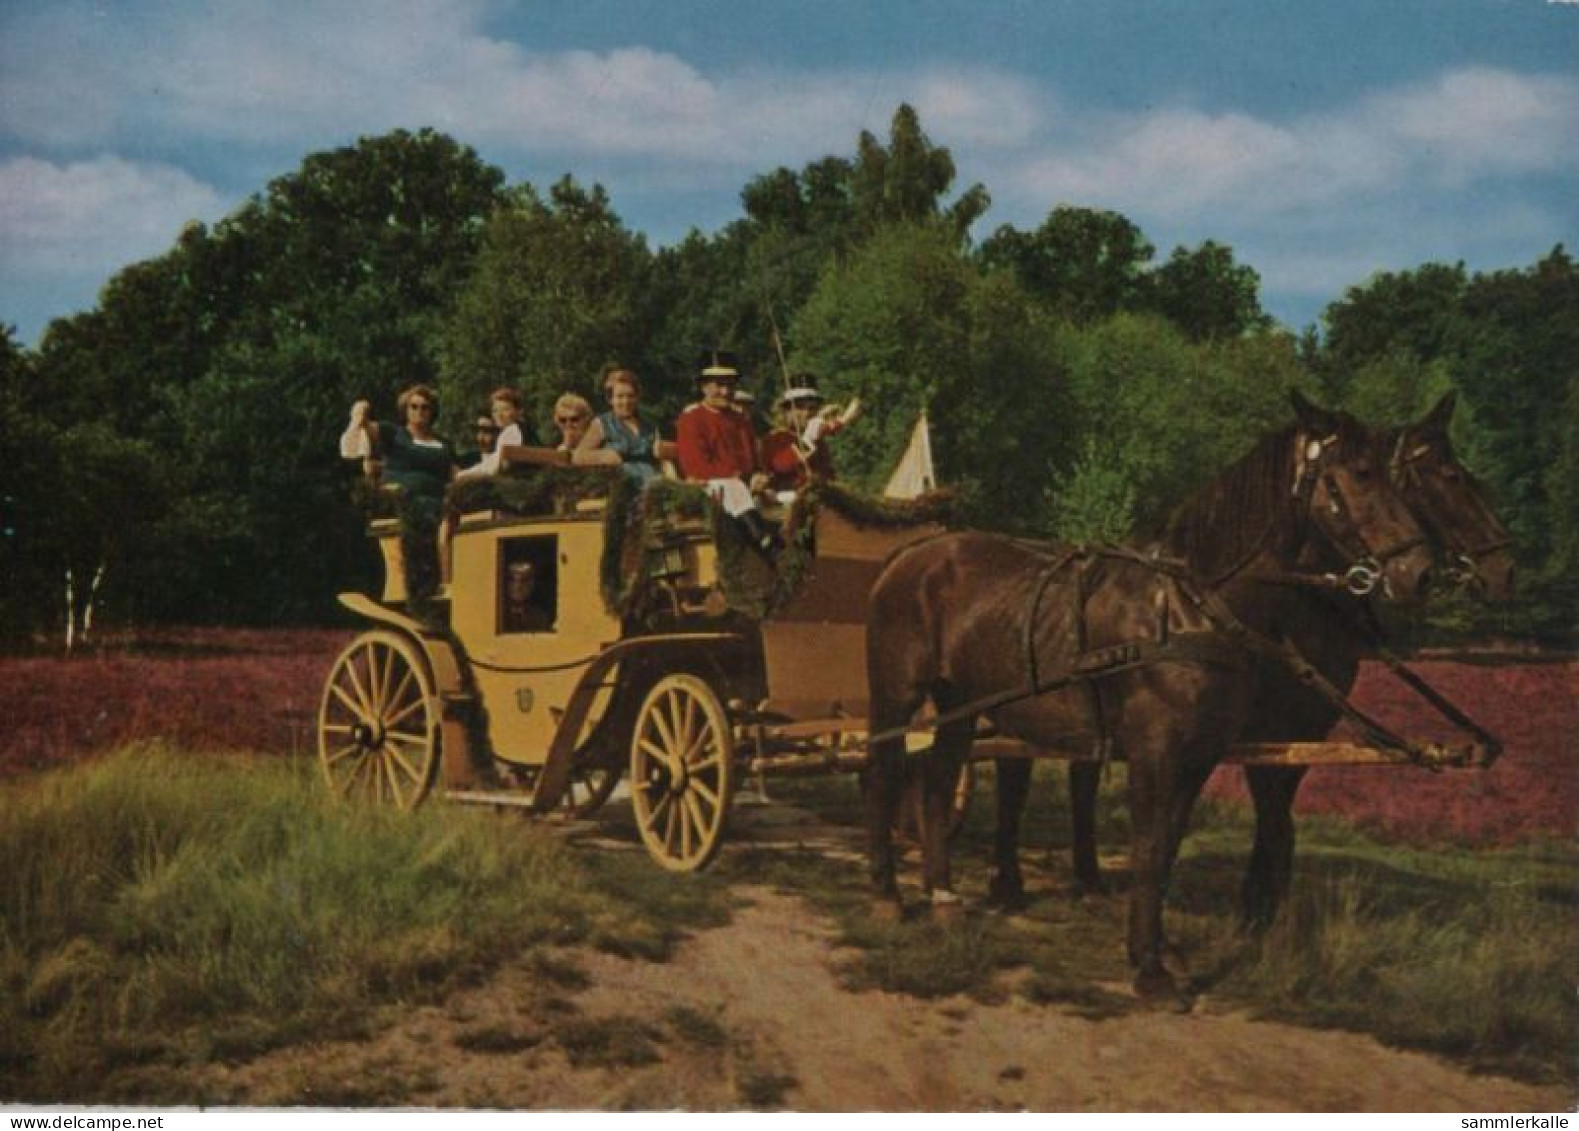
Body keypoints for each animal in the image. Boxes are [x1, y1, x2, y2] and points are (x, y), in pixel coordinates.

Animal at [865, 393, 1433, 991]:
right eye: (1362, 474)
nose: (1420, 571)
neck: (1190, 608)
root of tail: (912, 555)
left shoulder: (1198, 756)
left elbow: (1167, 848)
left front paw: (1162, 952)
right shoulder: (1154, 753)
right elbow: (1148, 847)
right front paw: (1149, 966)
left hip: (958, 702)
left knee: (936, 780)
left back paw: (943, 896)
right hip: (898, 692)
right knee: (884, 771)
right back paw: (888, 895)